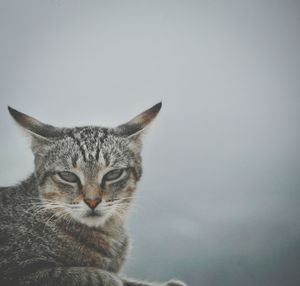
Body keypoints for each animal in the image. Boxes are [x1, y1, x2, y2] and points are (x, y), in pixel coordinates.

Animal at [0, 104, 186, 286]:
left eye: (113, 174)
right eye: (68, 176)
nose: (92, 201)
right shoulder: (19, 272)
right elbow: (81, 275)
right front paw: (108, 278)